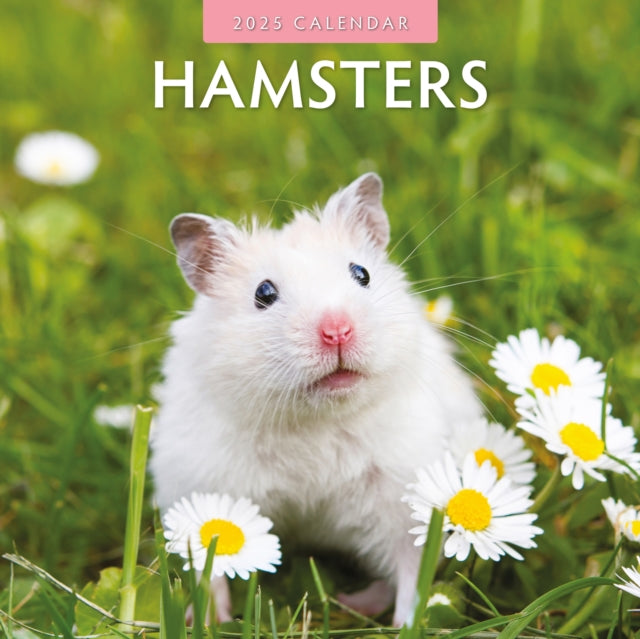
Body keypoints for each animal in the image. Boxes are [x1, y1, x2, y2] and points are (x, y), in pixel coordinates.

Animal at [150, 173, 482, 625]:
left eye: (361, 273)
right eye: (264, 292)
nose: (337, 330)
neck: (314, 419)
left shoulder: (403, 498)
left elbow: (413, 569)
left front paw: (406, 625)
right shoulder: (202, 487)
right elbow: (210, 565)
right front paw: (208, 620)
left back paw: (353, 602)